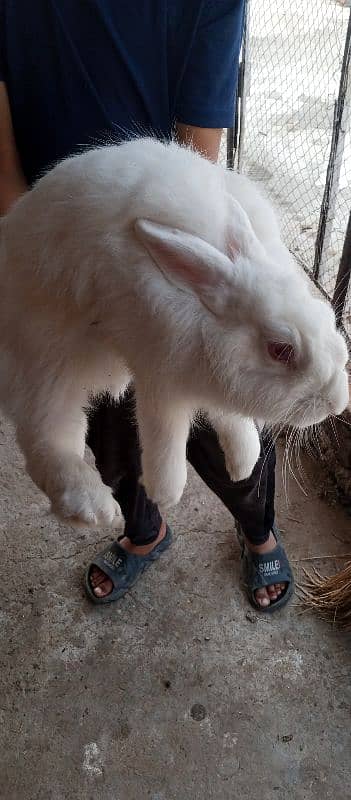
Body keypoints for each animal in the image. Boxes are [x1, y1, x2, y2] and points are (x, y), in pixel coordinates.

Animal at [0, 138, 348, 524]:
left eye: (326, 317)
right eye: (280, 350)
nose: (336, 403)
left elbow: (232, 419)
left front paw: (243, 463)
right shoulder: (160, 375)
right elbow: (165, 434)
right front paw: (165, 494)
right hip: (47, 354)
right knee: (44, 433)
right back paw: (95, 508)